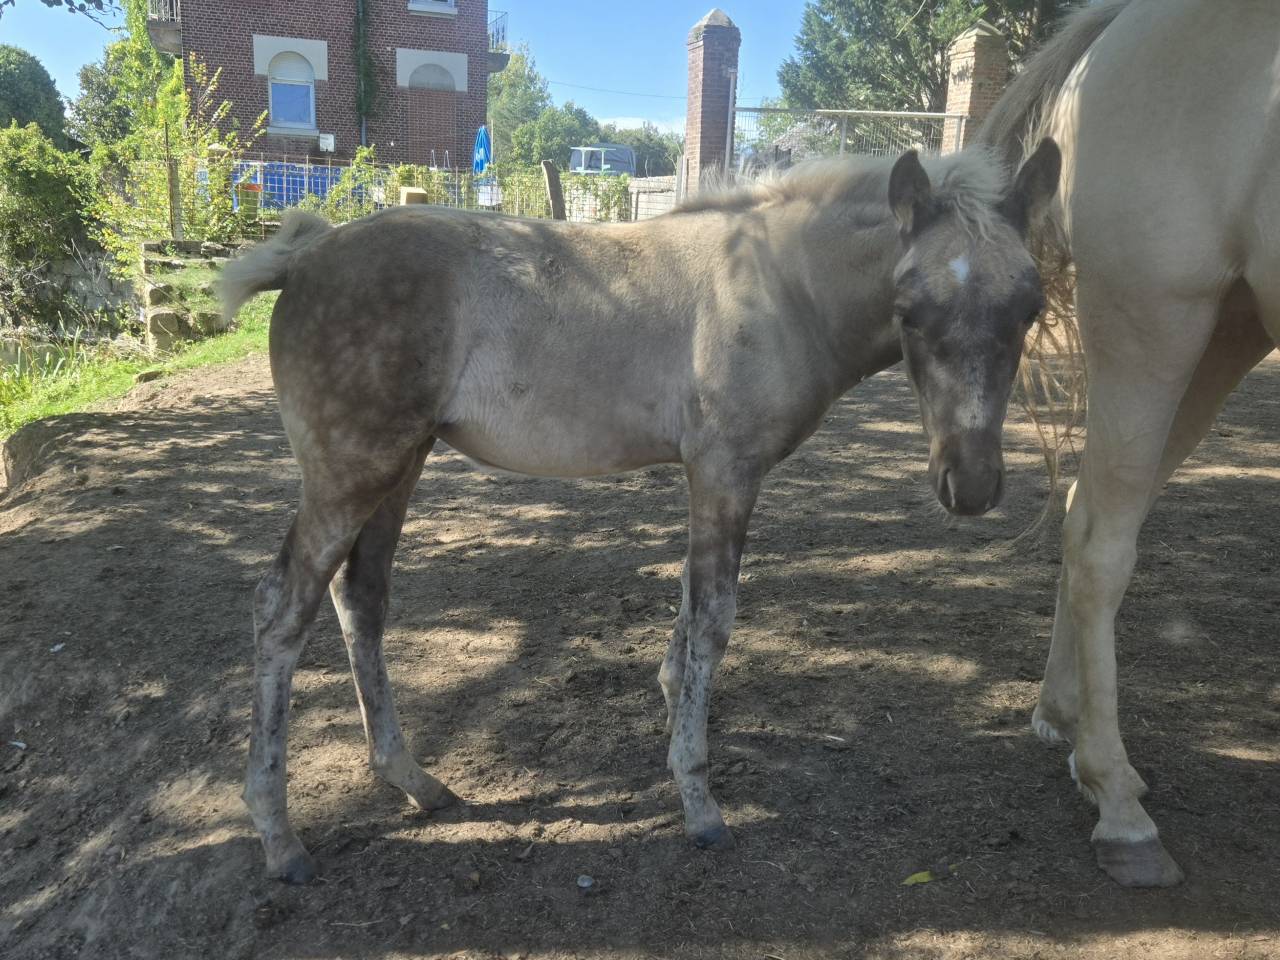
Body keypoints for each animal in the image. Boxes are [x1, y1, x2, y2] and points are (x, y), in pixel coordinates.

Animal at [221, 142, 1061, 883]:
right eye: (911, 309)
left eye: (1032, 306)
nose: (971, 484)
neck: (779, 286)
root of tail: (307, 255)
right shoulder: (725, 471)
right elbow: (715, 616)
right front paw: (698, 797)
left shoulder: (707, 475)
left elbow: (690, 604)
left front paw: (672, 707)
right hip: (351, 472)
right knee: (280, 607)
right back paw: (278, 834)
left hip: (399, 465)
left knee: (360, 598)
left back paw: (411, 779)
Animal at [979, 0, 1280, 887]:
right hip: (1161, 318)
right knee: (1098, 537)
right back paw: (1117, 802)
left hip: (1229, 328)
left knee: (1088, 509)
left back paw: (1065, 721)